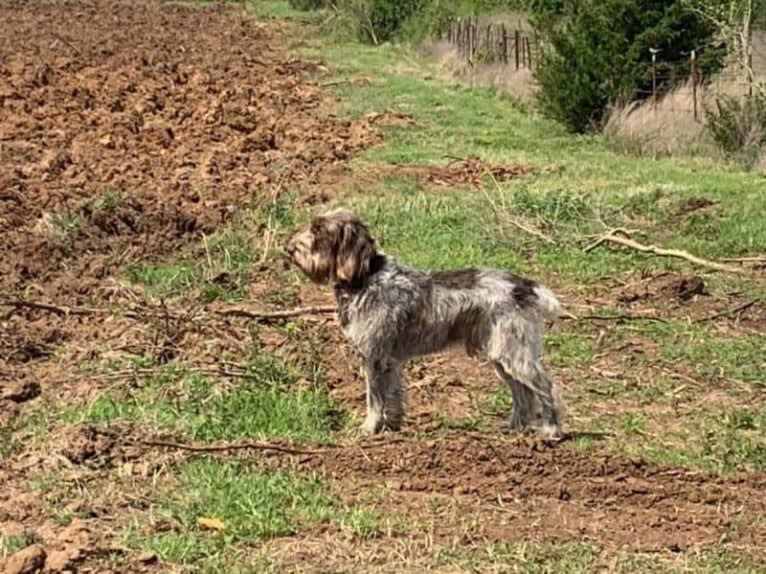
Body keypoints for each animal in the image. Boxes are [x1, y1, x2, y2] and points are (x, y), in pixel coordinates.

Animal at [286, 209, 564, 438]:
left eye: (318, 230)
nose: (289, 249)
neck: (365, 277)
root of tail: (524, 286)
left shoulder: (373, 357)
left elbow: (374, 399)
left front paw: (369, 428)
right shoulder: (390, 361)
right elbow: (393, 396)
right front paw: (392, 426)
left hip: (515, 355)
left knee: (544, 386)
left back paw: (551, 431)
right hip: (502, 357)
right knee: (523, 393)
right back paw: (515, 426)